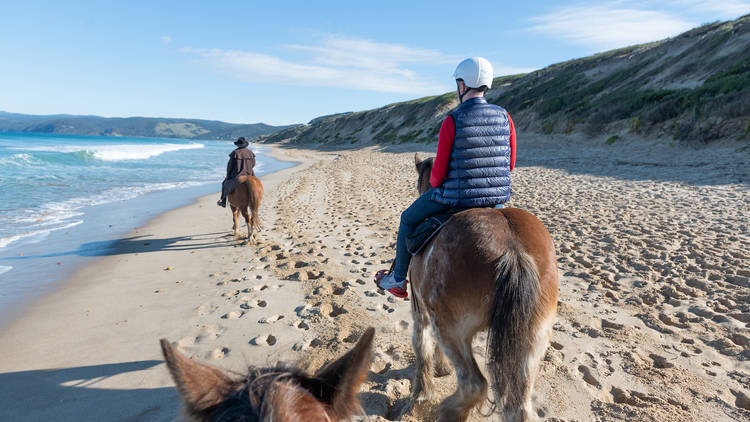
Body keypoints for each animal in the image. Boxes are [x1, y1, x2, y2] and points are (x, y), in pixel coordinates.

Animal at [406, 153, 560, 420]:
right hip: (533, 338)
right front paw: (442, 368)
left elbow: (422, 345)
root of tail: (513, 250)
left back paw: (448, 410)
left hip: (451, 330)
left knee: (474, 384)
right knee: (519, 403)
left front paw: (422, 393)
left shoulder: (421, 312)